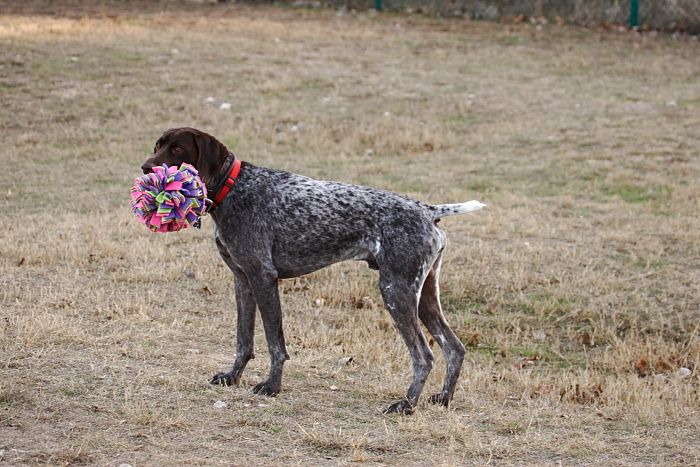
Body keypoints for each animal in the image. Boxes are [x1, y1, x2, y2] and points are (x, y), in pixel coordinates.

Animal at [139, 128, 484, 416]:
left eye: (177, 148)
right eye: (157, 146)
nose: (145, 168)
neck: (234, 188)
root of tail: (427, 210)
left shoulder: (264, 279)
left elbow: (275, 344)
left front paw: (272, 387)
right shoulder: (243, 280)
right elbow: (243, 340)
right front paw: (233, 377)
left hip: (396, 293)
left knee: (424, 356)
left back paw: (406, 405)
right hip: (422, 296)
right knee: (454, 347)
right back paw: (443, 399)